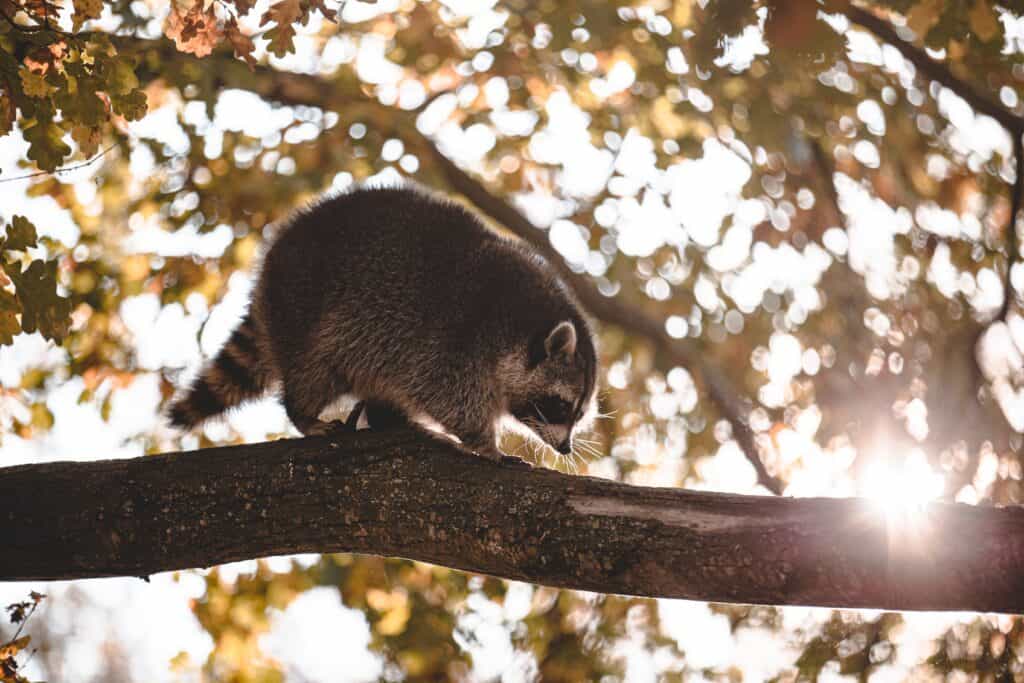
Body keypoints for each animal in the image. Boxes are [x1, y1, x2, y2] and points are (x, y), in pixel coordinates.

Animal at [167, 185, 598, 458]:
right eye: (560, 406)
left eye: (579, 414)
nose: (565, 448)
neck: (518, 319)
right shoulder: (453, 340)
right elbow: (448, 394)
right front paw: (483, 441)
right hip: (307, 309)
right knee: (313, 370)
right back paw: (304, 413)